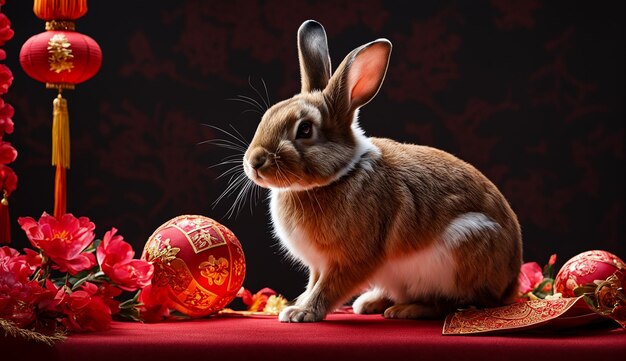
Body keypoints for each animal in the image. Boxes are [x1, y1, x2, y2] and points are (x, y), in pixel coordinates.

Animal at [241, 21, 520, 322]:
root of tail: (510, 284)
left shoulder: (351, 260)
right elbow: (313, 283)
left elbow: (328, 288)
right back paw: (372, 303)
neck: (340, 174)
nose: (254, 162)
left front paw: (301, 313)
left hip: (462, 249)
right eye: (268, 115)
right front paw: (298, 305)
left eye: (304, 130)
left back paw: (405, 309)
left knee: (452, 303)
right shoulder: (318, 265)